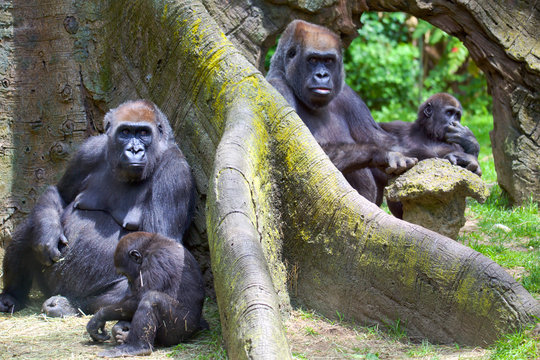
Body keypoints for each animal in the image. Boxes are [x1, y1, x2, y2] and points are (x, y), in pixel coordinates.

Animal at [0, 99, 194, 316]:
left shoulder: (174, 171)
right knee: (31, 227)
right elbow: (60, 194)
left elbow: (161, 242)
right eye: (125, 132)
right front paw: (48, 232)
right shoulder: (88, 151)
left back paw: (70, 305)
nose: (134, 150)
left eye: (144, 133)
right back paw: (12, 296)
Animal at [266, 19, 418, 205]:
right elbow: (303, 158)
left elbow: (386, 140)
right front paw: (382, 154)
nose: (322, 75)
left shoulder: (349, 95)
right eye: (313, 59)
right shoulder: (277, 87)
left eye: (329, 60)